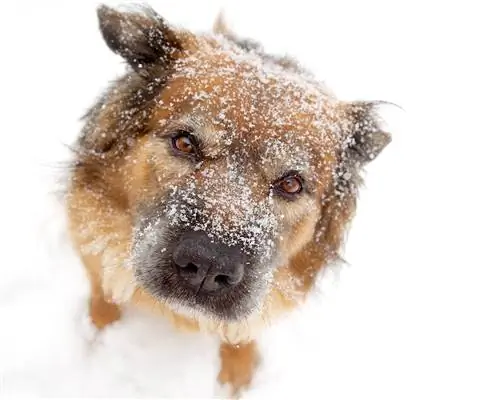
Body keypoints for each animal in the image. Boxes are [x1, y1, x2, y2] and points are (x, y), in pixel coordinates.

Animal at [65, 3, 390, 396]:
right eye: (184, 142)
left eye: (291, 184)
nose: (208, 265)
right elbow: (104, 297)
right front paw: (97, 338)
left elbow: (242, 334)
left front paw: (237, 380)